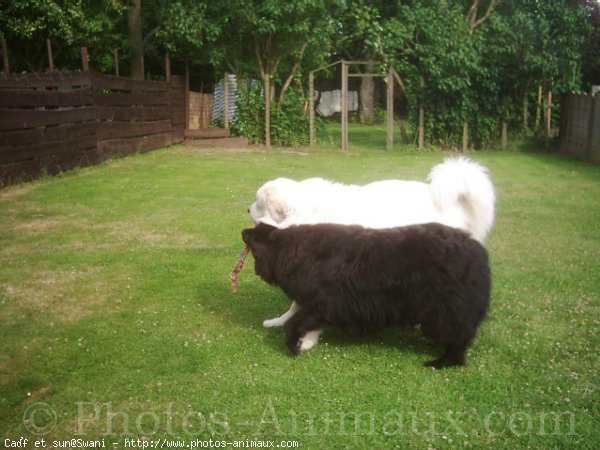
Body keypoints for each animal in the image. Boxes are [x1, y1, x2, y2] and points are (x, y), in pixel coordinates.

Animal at [241, 222, 490, 370]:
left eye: (256, 231)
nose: (243, 231)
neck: (294, 250)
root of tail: (476, 250)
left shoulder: (323, 303)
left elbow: (294, 324)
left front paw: (295, 345)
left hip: (446, 312)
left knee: (459, 342)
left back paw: (441, 361)